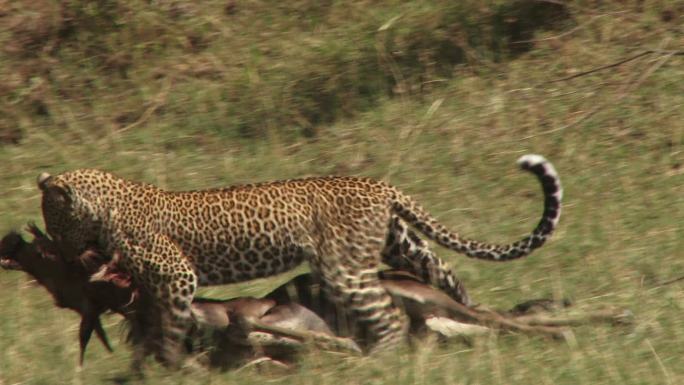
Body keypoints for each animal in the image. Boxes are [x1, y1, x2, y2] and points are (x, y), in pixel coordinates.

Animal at [38, 154, 560, 364]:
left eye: (52, 219)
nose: (59, 251)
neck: (107, 205)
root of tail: (378, 185)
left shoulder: (178, 276)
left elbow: (171, 322)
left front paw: (170, 359)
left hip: (343, 268)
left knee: (389, 318)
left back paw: (380, 362)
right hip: (404, 248)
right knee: (452, 284)